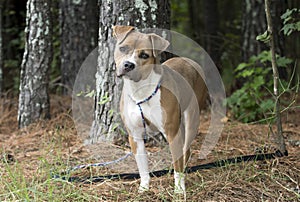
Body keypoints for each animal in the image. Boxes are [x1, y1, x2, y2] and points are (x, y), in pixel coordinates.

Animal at [112, 24, 206, 194]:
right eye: (123, 48)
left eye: (144, 55)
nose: (128, 65)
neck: (141, 90)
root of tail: (191, 61)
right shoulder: (135, 136)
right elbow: (142, 165)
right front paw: (144, 187)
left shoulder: (172, 132)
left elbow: (177, 165)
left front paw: (179, 190)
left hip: (192, 118)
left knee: (185, 149)